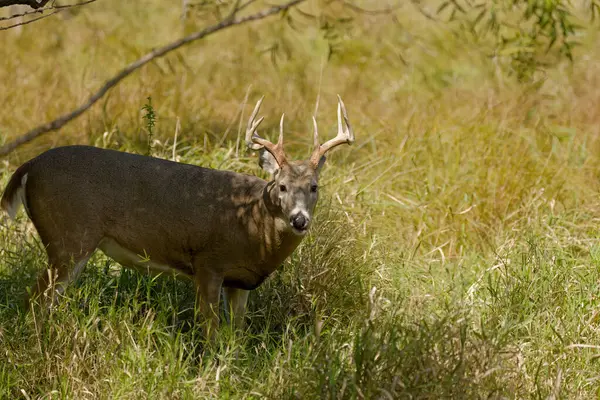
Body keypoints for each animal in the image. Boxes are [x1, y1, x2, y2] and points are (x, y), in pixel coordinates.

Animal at [0, 96, 354, 338]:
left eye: (314, 187)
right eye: (281, 186)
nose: (299, 220)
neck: (255, 227)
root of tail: (28, 166)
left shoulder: (240, 281)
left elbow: (236, 334)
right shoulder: (208, 262)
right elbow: (211, 331)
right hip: (69, 237)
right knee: (33, 301)